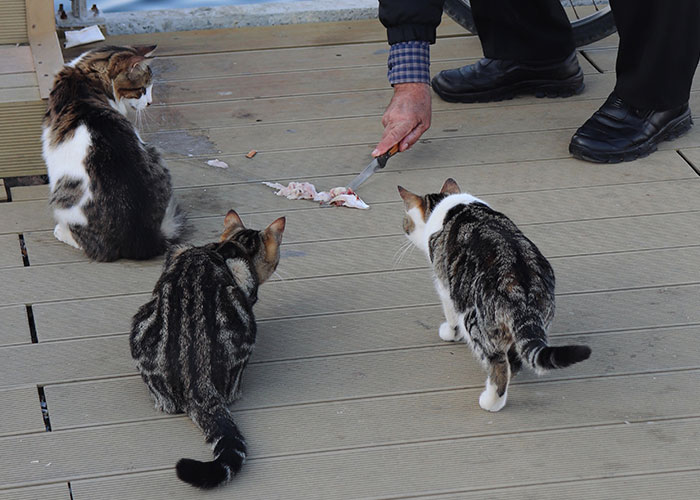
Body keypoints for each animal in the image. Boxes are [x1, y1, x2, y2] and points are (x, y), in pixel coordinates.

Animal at [42, 44, 182, 262]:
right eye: (142, 90)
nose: (150, 102)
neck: (85, 75)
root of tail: (141, 238)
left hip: (62, 196)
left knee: (94, 248)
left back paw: (62, 232)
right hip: (155, 157)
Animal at [400, 178, 592, 412]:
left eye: (406, 221)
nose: (404, 227)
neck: (449, 205)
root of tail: (520, 288)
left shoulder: (445, 286)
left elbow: (450, 315)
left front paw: (449, 333)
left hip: (475, 322)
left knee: (499, 367)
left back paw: (490, 402)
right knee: (514, 361)